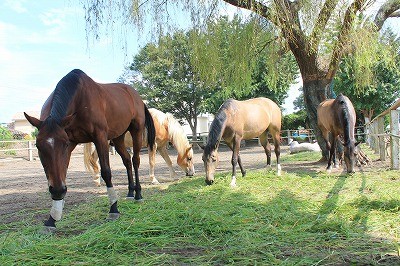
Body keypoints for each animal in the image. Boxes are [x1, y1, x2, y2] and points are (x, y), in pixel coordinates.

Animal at [23, 69, 155, 232]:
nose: (58, 191)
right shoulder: (72, 142)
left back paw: (138, 195)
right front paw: (52, 219)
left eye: (64, 144)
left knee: (135, 160)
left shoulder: (99, 138)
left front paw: (113, 209)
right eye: (38, 146)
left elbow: (106, 172)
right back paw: (130, 192)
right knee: (126, 160)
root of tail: (136, 95)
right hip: (118, 137)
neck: (79, 99)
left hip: (136, 130)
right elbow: (62, 173)